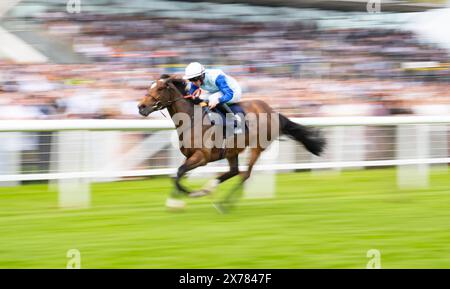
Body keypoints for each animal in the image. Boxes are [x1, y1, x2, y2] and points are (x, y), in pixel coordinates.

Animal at [139, 74, 326, 212]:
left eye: (160, 88)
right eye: (149, 87)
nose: (141, 107)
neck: (192, 119)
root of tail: (272, 110)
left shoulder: (201, 157)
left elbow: (179, 173)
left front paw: (187, 196)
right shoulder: (190, 156)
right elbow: (177, 174)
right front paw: (176, 202)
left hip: (257, 147)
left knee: (244, 174)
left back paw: (223, 204)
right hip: (232, 150)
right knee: (234, 171)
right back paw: (209, 189)